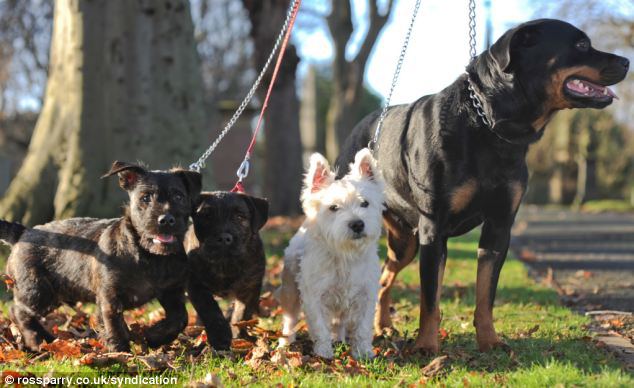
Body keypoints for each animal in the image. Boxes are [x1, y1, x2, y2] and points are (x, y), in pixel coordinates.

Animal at [1, 161, 199, 352]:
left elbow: (180, 318)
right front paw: (121, 354)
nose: (166, 220)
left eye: (179, 197)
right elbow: (114, 326)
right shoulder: (109, 297)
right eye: (145, 198)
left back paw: (46, 339)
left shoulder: (172, 291)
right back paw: (36, 341)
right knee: (17, 311)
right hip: (38, 291)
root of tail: (22, 232)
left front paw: (154, 337)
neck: (150, 256)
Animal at [185, 192, 270, 350]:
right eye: (207, 216)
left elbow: (242, 313)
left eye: (240, 217)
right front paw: (220, 337)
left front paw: (239, 334)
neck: (225, 264)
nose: (224, 237)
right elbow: (210, 310)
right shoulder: (195, 285)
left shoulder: (250, 287)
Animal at [336, 19, 628, 354]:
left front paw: (489, 340)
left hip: (405, 241)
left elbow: (486, 294)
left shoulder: (498, 227)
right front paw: (426, 346)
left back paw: (382, 325)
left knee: (385, 276)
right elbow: (429, 300)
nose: (626, 61)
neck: (488, 126)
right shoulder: (433, 229)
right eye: (581, 45)